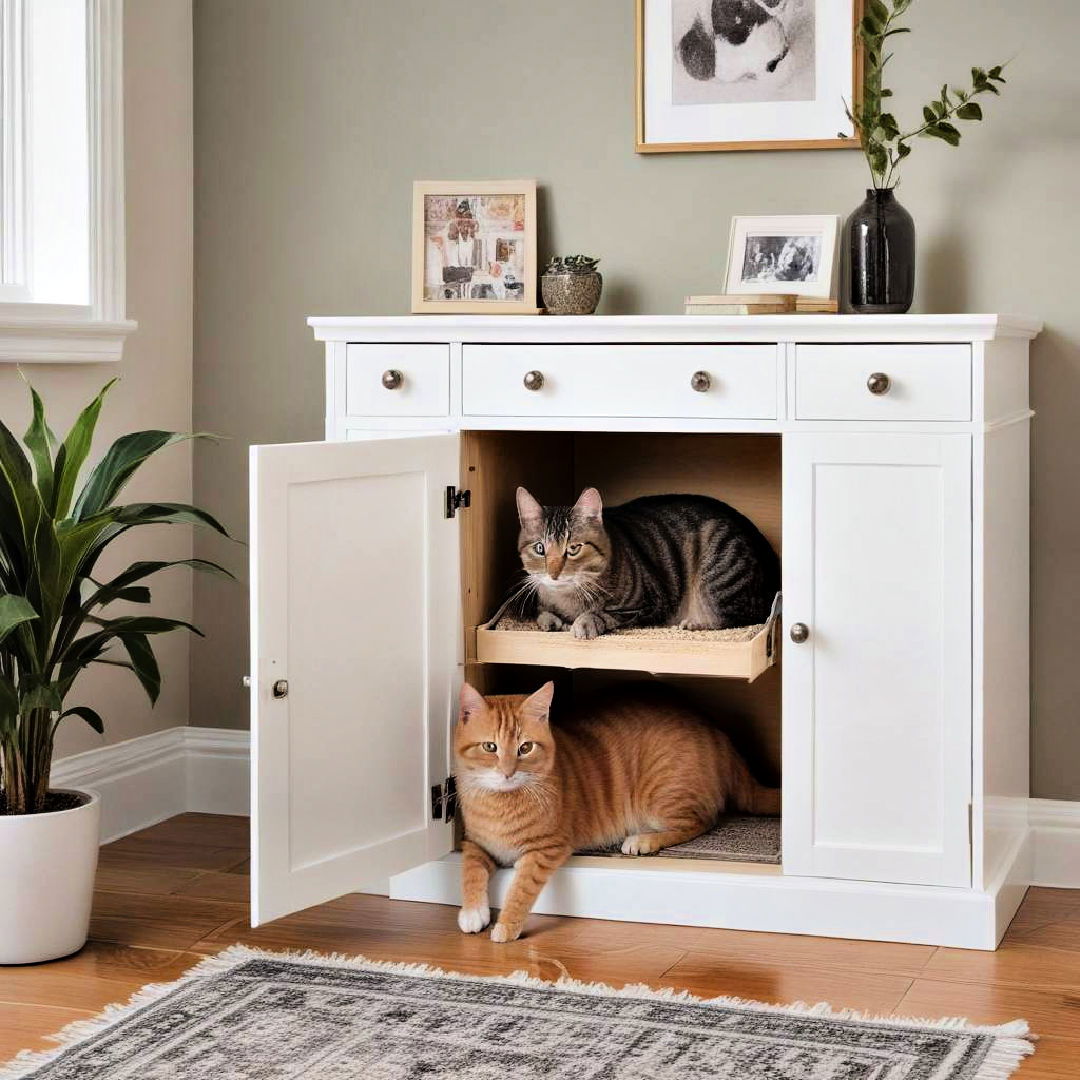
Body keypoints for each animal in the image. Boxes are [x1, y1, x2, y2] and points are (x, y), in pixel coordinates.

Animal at [453, 682, 777, 946]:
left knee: (702, 821)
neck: (500, 804)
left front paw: (506, 926)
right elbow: (470, 869)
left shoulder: (544, 850)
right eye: (490, 746)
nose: (507, 772)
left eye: (525, 747)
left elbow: (520, 889)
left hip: (661, 798)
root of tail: (719, 734)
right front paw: (472, 912)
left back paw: (643, 840)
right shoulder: (475, 843)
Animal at [511, 490, 777, 639]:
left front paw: (584, 622)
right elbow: (542, 613)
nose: (553, 573)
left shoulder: (647, 605)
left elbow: (603, 613)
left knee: (742, 616)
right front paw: (551, 620)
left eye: (573, 548)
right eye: (540, 548)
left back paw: (695, 623)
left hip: (720, 574)